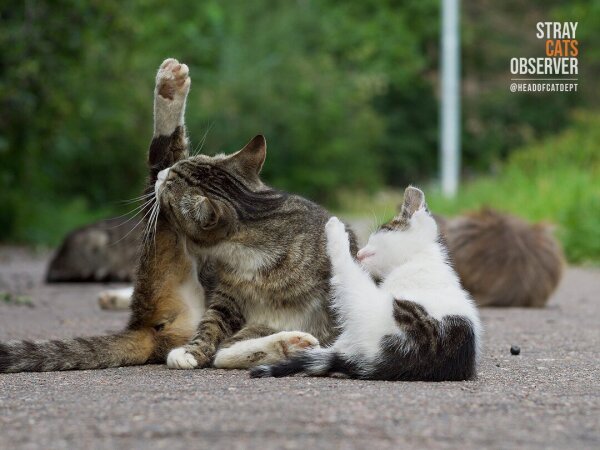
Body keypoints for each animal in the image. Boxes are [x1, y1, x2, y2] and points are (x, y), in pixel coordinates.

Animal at [252, 186, 482, 380]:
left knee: (348, 275)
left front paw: (336, 227)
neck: (418, 258)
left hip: (376, 311)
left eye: (380, 232)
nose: (361, 252)